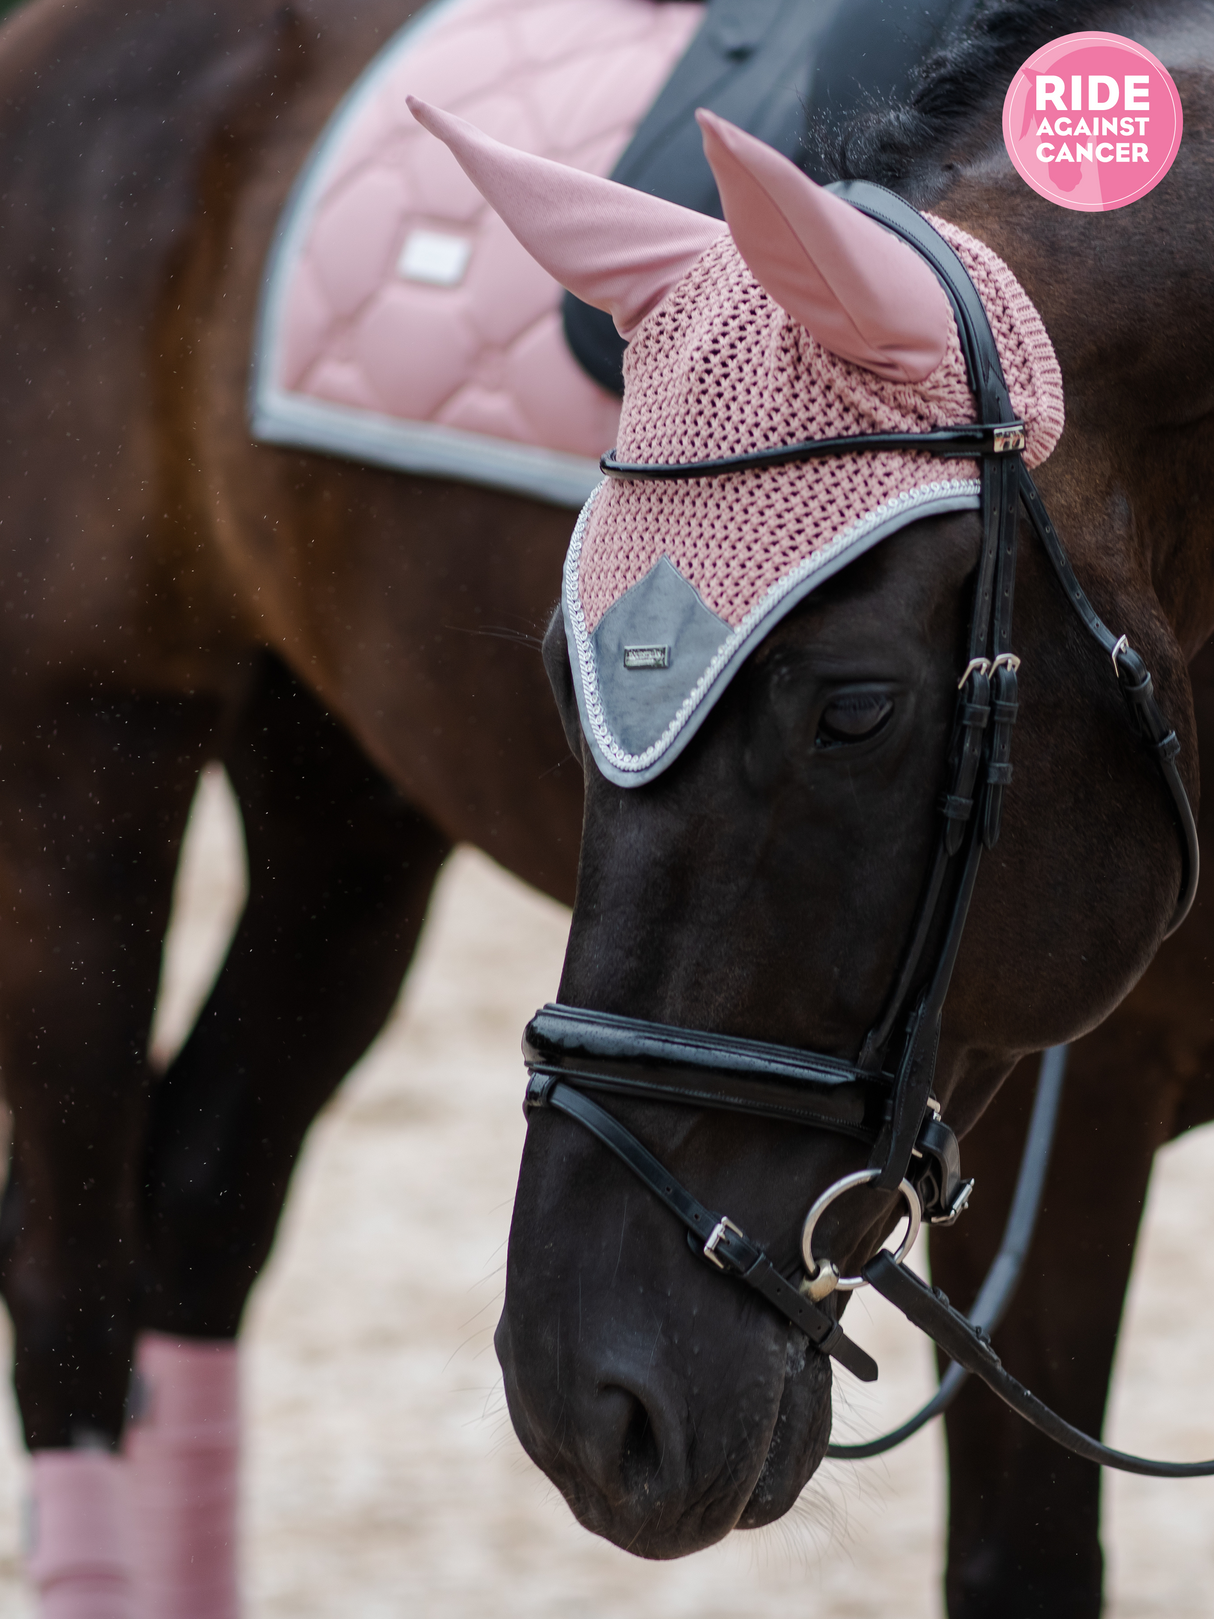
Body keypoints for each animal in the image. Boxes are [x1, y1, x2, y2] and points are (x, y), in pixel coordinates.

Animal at [0, 3, 1210, 1619]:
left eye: (853, 708)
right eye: (568, 681)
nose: (588, 1402)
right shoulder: (1066, 1112)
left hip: (343, 811)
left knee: (200, 1208)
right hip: (88, 757)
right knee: (72, 1285)